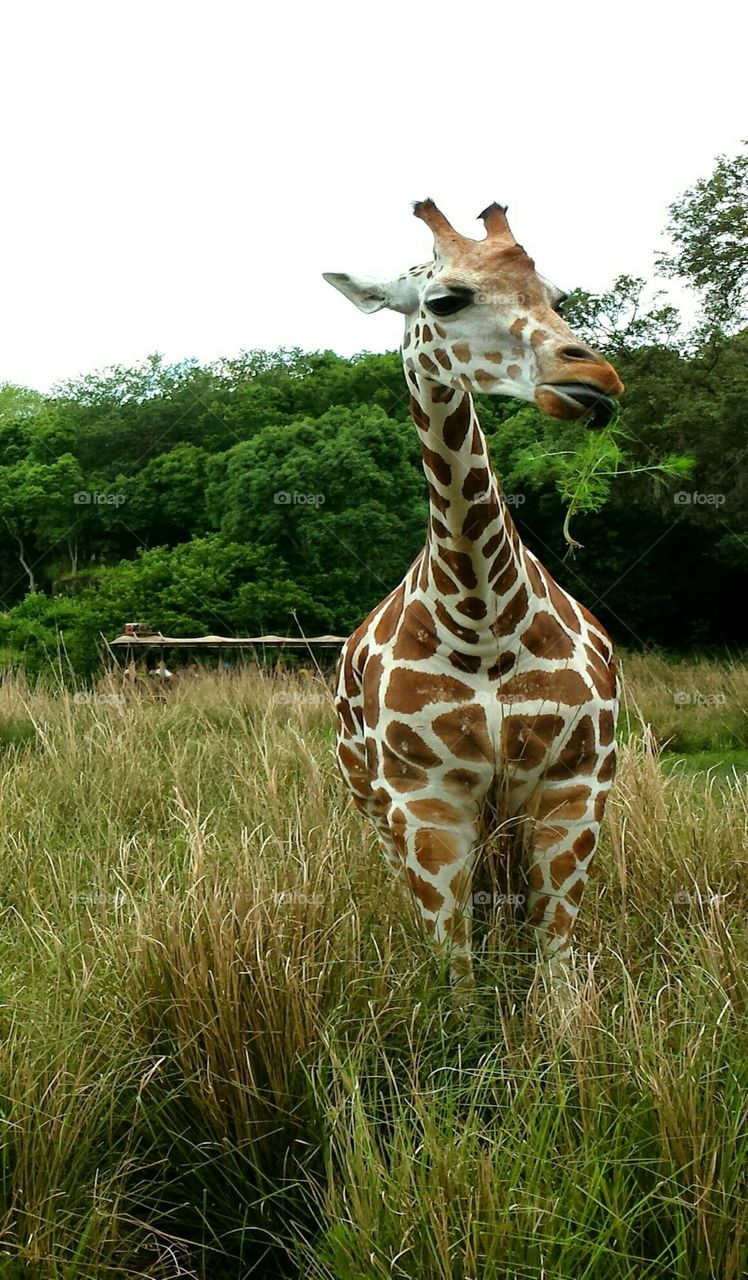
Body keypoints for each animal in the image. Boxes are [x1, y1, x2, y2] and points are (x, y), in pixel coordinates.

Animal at [323, 199, 623, 994]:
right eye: (445, 300)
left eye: (557, 295)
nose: (595, 376)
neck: (484, 618)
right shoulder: (425, 799)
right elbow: (454, 977)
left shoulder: (573, 786)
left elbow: (554, 970)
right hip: (375, 807)